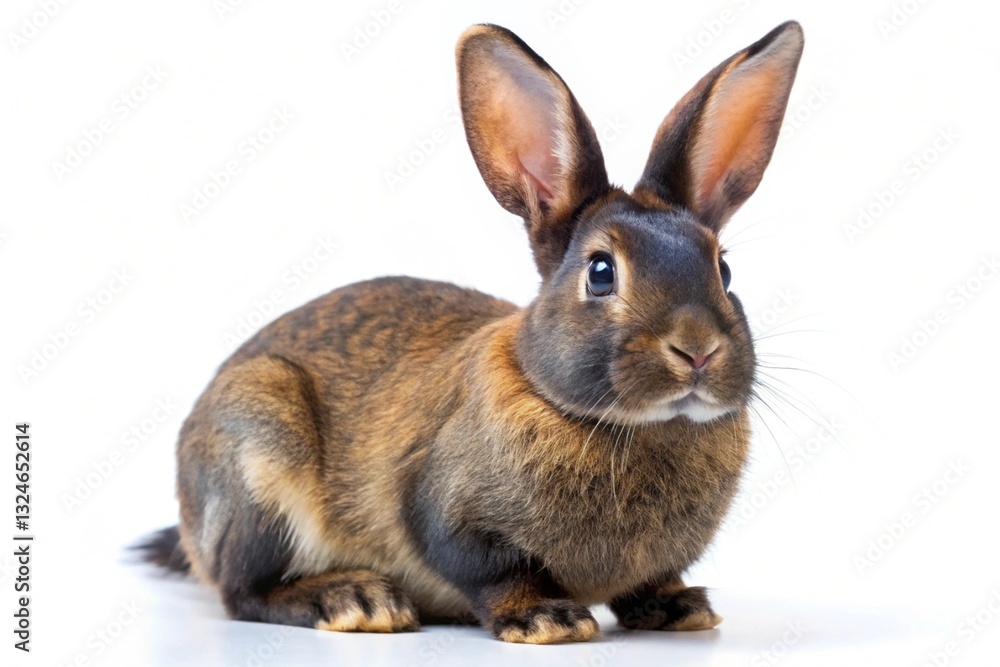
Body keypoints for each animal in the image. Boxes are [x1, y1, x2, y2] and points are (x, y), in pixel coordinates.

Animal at [139, 21, 804, 644]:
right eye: (601, 272)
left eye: (723, 269)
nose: (698, 349)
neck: (627, 426)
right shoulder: (450, 518)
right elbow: (495, 574)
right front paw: (546, 621)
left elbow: (651, 580)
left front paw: (680, 610)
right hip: (260, 449)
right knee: (242, 590)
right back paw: (355, 601)